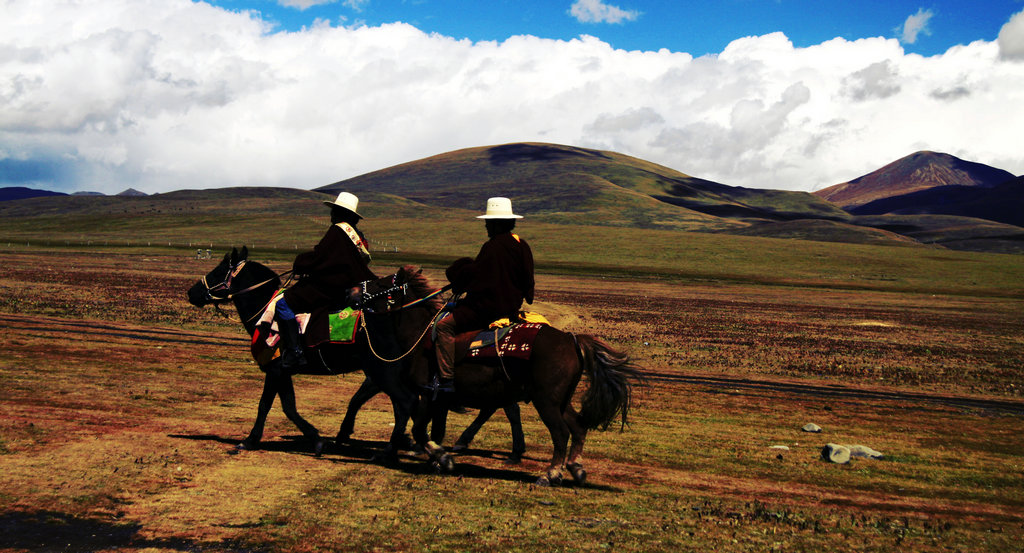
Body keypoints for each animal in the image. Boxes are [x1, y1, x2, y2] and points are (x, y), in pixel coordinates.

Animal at [184, 248, 524, 460]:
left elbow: (271, 406)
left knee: (419, 403)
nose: (192, 292)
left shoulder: (276, 368)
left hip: (388, 371)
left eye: (218, 270)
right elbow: (290, 405)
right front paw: (323, 436)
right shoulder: (288, 371)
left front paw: (253, 440)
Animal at [352, 266, 638, 485]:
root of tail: (572, 339)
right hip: (561, 400)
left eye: (381, 282)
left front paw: (442, 458)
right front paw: (438, 459)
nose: (350, 292)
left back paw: (549, 474)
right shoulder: (439, 398)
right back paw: (576, 469)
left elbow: (421, 430)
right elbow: (433, 430)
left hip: (545, 401)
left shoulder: (428, 393)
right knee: (577, 427)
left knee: (560, 433)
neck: (420, 336)